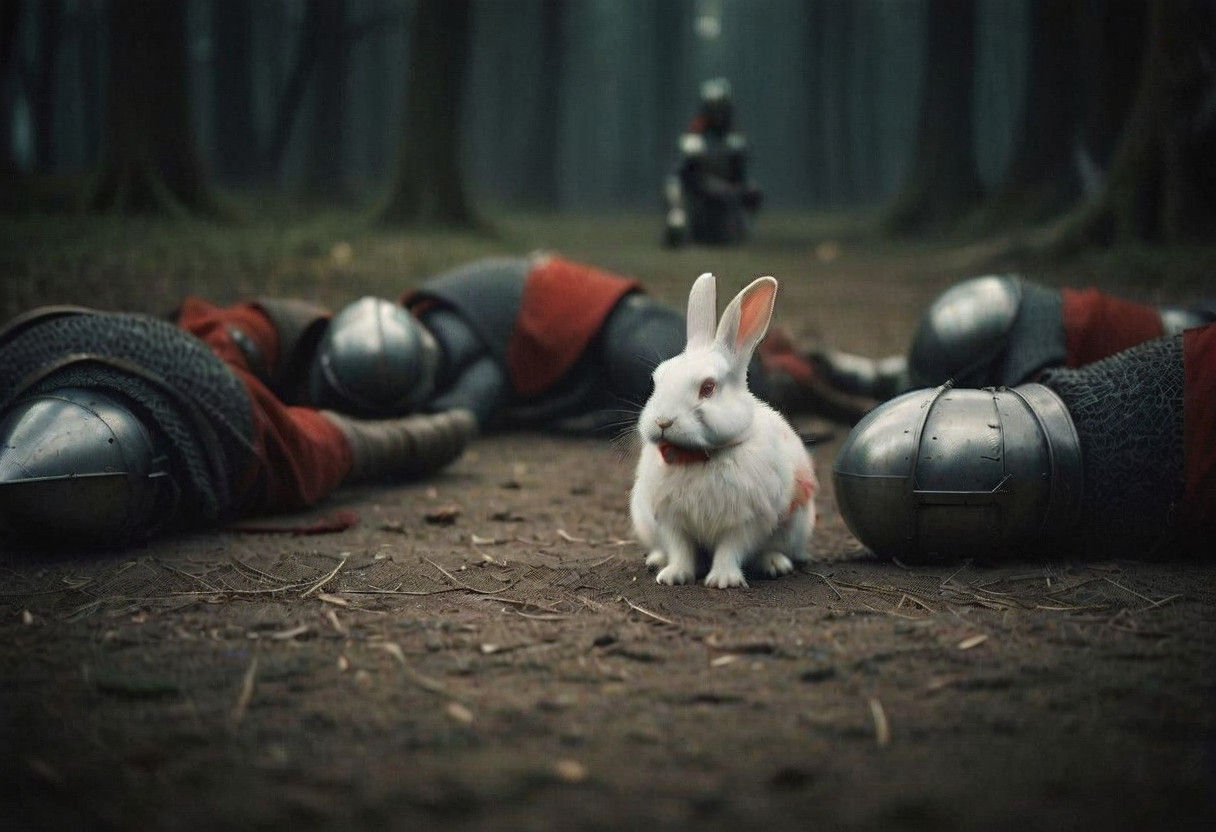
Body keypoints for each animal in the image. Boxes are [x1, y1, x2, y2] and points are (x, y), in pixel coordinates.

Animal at [630, 272, 817, 588]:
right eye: (657, 379)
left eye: (708, 388)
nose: (663, 421)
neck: (697, 458)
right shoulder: (670, 521)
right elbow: (680, 549)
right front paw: (673, 576)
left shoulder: (746, 521)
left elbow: (731, 549)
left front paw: (723, 580)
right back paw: (656, 559)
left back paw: (775, 564)